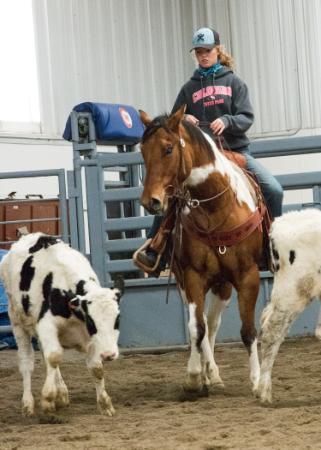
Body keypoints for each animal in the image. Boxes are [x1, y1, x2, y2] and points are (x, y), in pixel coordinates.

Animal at [0, 234, 122, 416]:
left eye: (117, 318)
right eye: (91, 321)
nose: (109, 354)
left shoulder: (90, 338)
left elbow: (96, 368)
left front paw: (105, 405)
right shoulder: (47, 325)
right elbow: (54, 356)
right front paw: (48, 399)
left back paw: (62, 394)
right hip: (17, 321)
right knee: (27, 362)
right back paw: (28, 404)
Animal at [140, 107, 268, 396]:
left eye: (168, 149)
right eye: (142, 151)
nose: (150, 201)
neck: (217, 207)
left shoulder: (247, 276)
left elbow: (248, 330)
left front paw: (256, 380)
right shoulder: (192, 276)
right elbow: (196, 328)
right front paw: (194, 376)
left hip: (223, 285)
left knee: (213, 323)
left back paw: (215, 374)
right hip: (186, 282)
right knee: (201, 326)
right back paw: (207, 373)